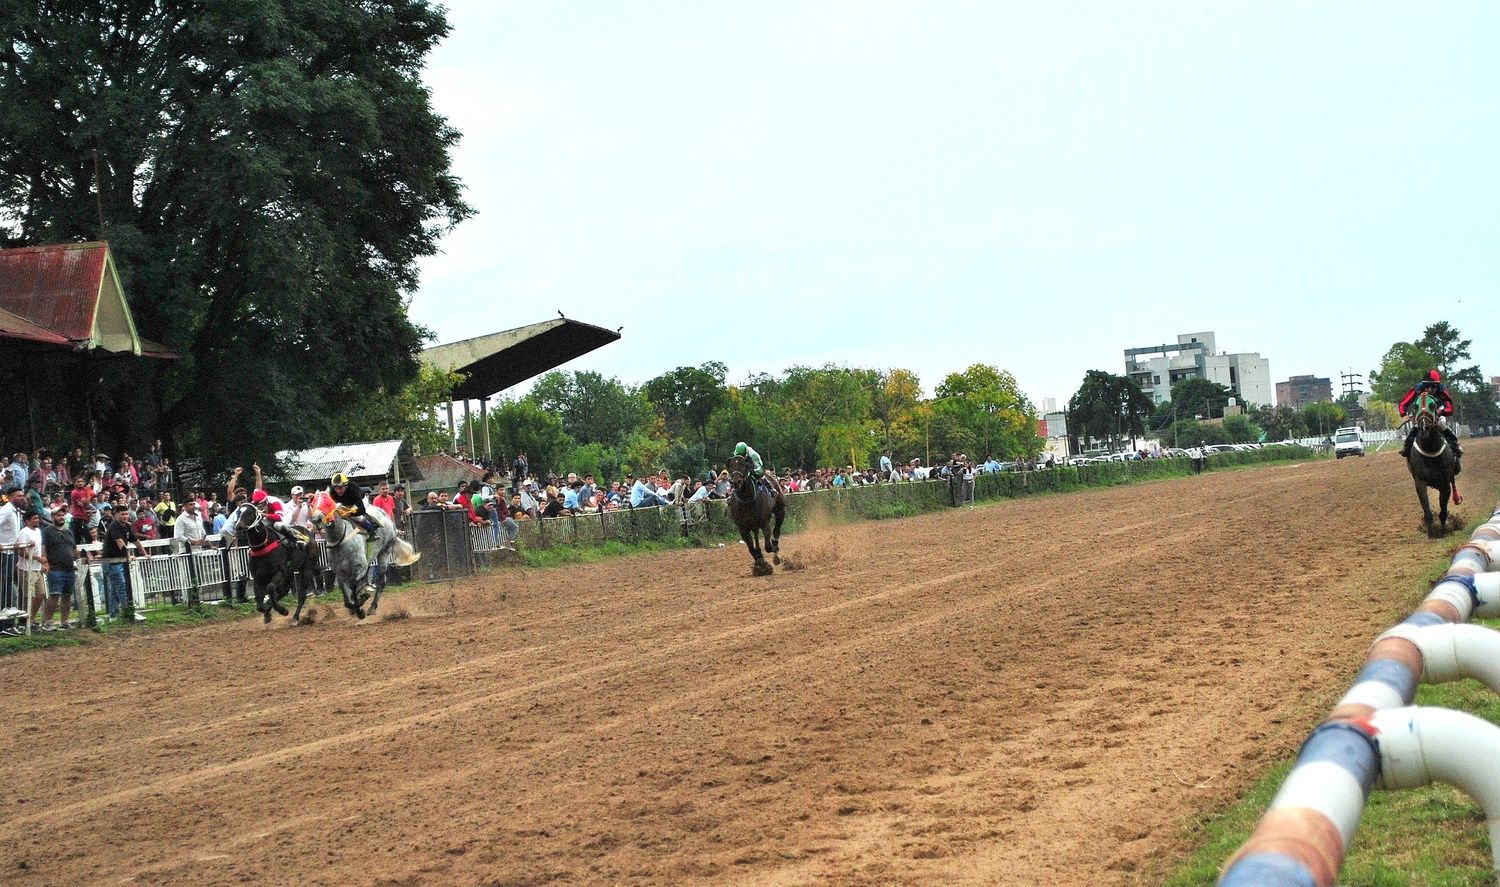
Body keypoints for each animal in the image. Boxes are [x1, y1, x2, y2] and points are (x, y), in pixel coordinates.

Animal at [1404, 393, 1464, 537]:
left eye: (1432, 405)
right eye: (1415, 406)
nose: (1424, 427)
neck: (1430, 449)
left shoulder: (1445, 484)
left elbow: (1443, 512)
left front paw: (1442, 532)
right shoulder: (1420, 482)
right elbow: (1427, 511)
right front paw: (1431, 533)